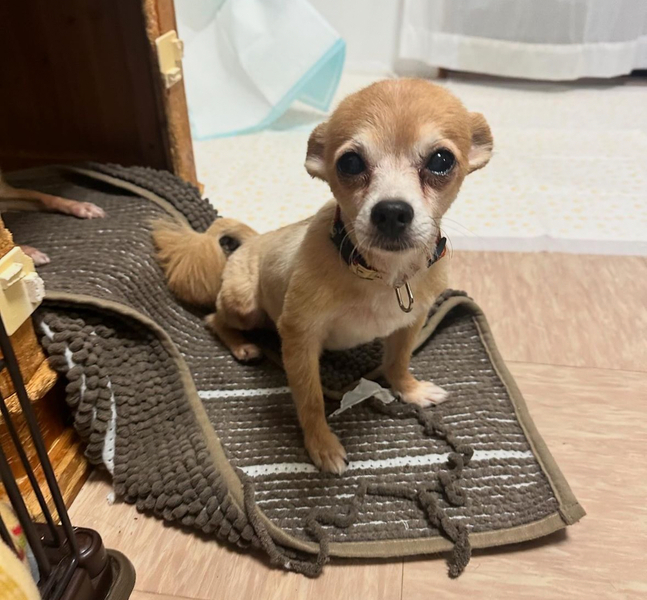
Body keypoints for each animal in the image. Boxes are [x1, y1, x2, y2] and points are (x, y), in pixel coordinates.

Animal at [153, 79, 493, 474]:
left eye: (441, 160)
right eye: (350, 162)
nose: (391, 211)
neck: (380, 274)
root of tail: (253, 240)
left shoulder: (411, 322)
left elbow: (397, 361)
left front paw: (409, 390)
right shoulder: (300, 339)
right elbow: (310, 398)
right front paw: (322, 445)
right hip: (245, 305)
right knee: (214, 319)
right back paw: (241, 345)